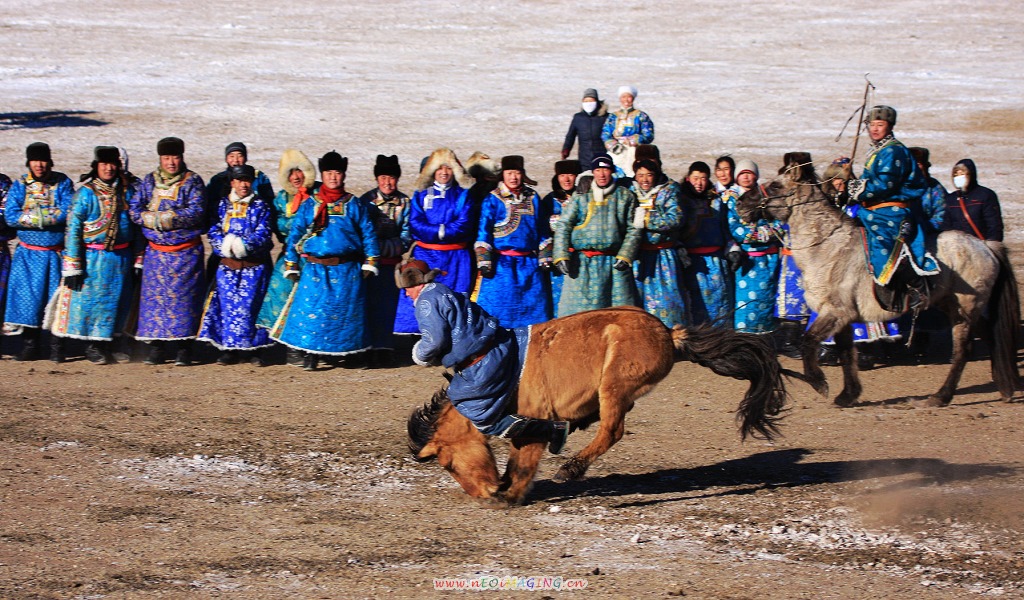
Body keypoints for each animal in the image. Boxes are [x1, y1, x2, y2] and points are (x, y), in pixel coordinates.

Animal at [405, 305, 782, 501]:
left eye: (448, 464)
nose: (483, 493)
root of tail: (668, 333)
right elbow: (516, 459)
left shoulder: (534, 422)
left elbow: (524, 460)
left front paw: (511, 494)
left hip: (613, 386)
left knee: (612, 430)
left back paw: (571, 468)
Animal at [741, 156, 1019, 405]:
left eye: (775, 186)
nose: (742, 202)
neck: (828, 247)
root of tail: (985, 245)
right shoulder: (845, 317)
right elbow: (846, 353)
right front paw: (848, 395)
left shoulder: (834, 311)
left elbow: (809, 341)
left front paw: (819, 383)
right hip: (955, 306)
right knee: (991, 336)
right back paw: (1006, 387)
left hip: (965, 309)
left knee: (963, 351)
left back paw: (941, 396)